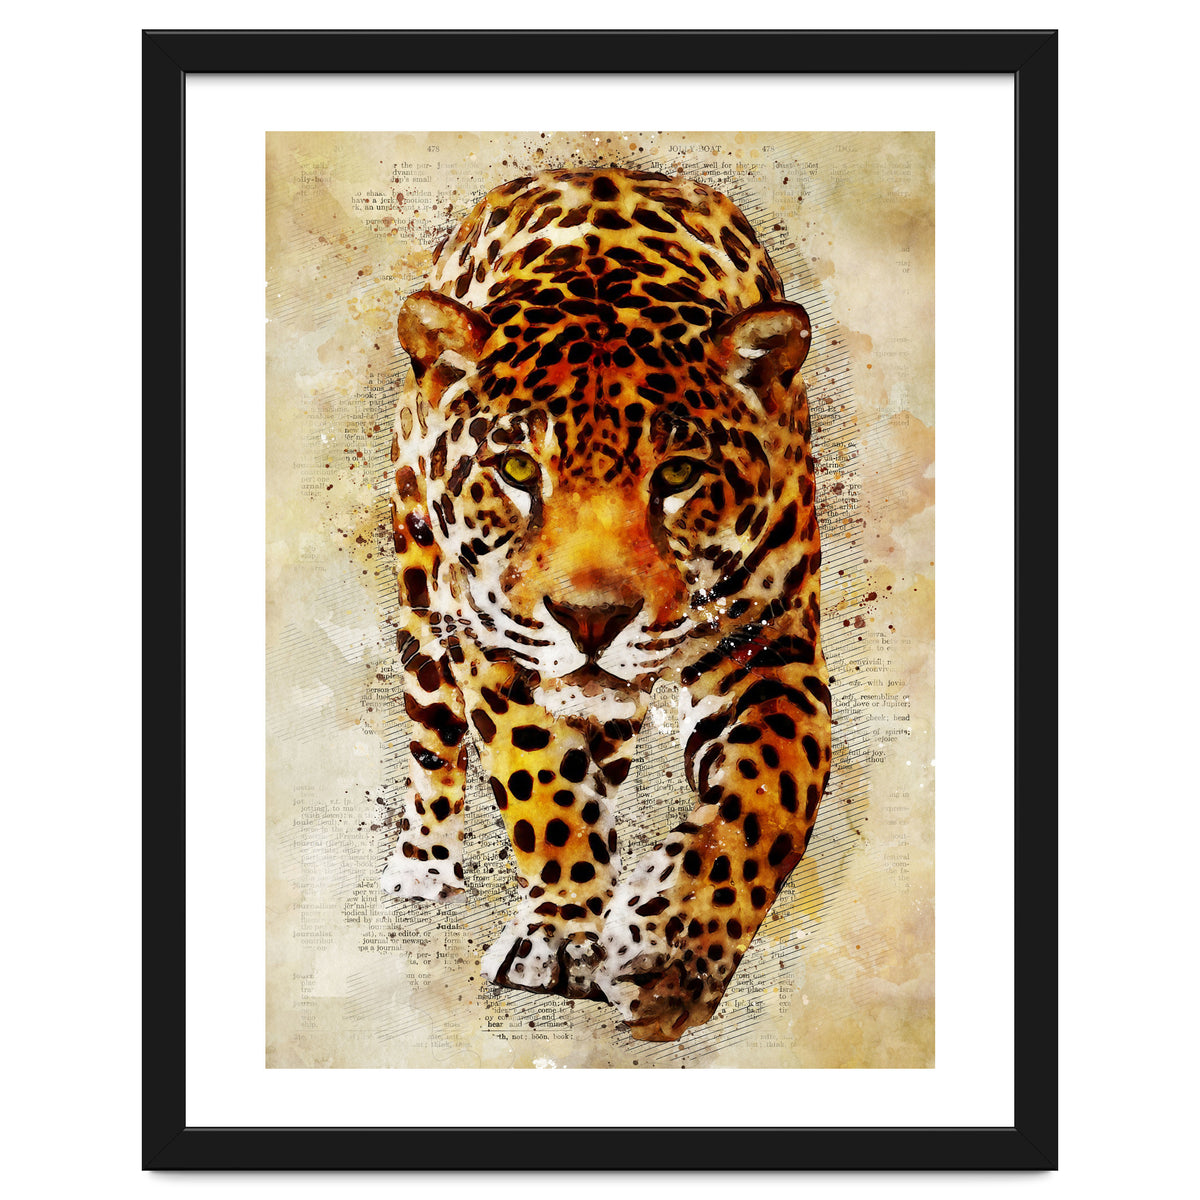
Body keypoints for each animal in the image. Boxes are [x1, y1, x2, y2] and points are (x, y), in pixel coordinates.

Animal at [382, 167, 831, 1042]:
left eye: (679, 474)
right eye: (518, 469)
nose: (591, 619)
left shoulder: (773, 644)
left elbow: (770, 794)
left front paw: (671, 951)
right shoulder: (494, 640)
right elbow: (540, 778)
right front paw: (562, 933)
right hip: (423, 597)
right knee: (433, 735)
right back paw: (423, 864)